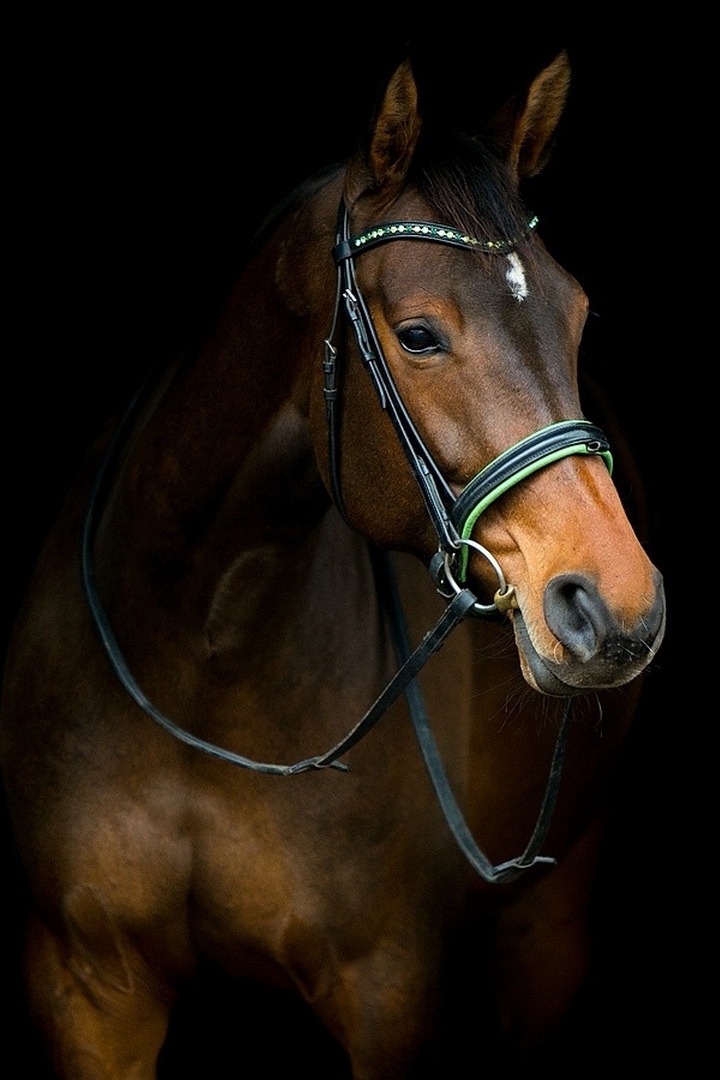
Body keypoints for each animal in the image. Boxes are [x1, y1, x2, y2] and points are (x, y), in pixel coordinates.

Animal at [0, 50, 665, 1078]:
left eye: (581, 315)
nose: (617, 605)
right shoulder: (86, 986)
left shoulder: (390, 996)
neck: (201, 646)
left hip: (547, 924)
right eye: (420, 334)